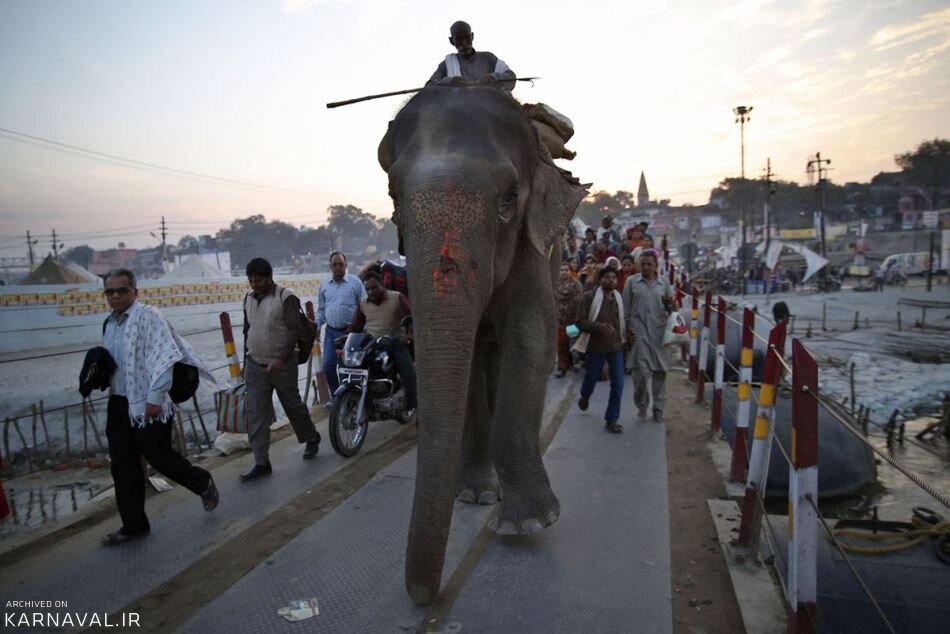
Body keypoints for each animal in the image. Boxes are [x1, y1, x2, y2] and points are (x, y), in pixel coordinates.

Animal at [378, 84, 588, 604]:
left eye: (509, 200)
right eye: (393, 197)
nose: (424, 596)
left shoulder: (534, 246)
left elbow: (530, 338)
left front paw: (529, 521)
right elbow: (467, 353)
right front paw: (475, 496)